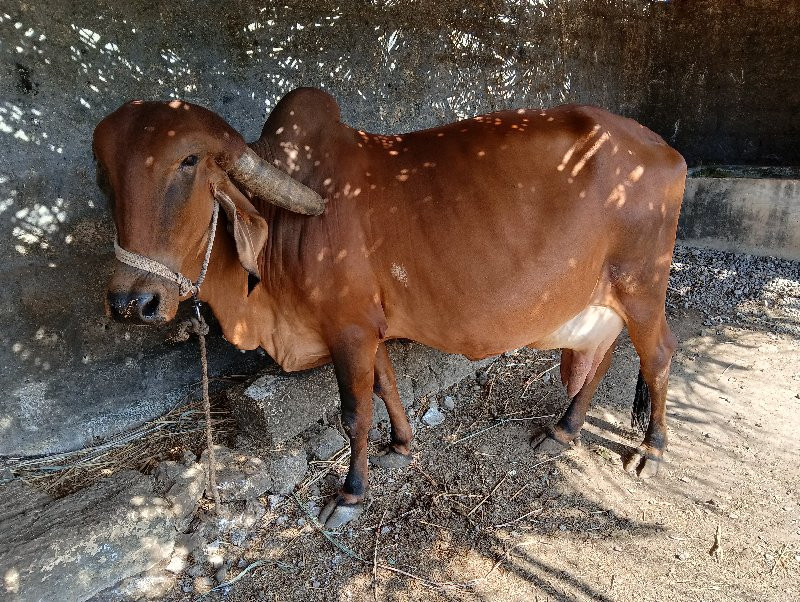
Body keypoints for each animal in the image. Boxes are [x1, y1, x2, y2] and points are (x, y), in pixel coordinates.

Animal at [92, 85, 680, 524]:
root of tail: (664, 151)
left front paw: (352, 492)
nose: (132, 301)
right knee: (601, 355)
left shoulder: (348, 331)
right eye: (104, 173)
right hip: (603, 299)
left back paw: (652, 451)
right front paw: (401, 445)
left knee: (659, 356)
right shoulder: (367, 327)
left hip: (642, 287)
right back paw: (564, 429)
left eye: (188, 161)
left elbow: (356, 412)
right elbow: (388, 385)